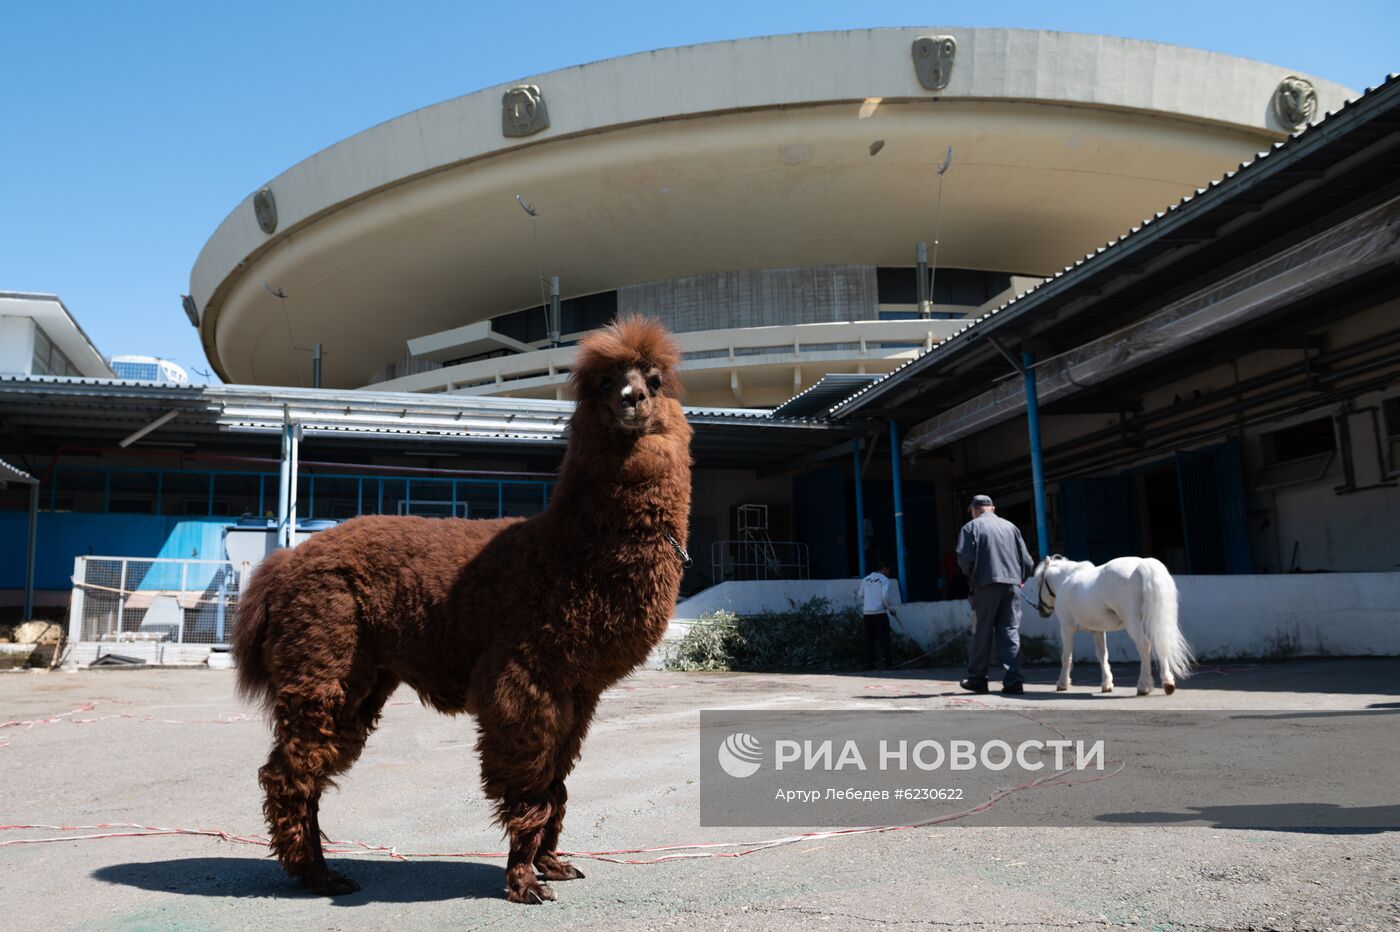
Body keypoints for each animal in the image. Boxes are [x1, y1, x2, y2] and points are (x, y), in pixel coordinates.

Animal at [1030, 554, 1192, 694]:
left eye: (1040, 582)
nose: (1041, 610)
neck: (1066, 580)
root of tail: (1142, 564)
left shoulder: (1066, 628)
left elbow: (1066, 656)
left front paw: (1062, 683)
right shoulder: (1097, 630)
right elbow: (1102, 655)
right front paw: (1107, 684)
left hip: (1133, 623)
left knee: (1145, 645)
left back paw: (1144, 686)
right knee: (1161, 643)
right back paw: (1168, 683)